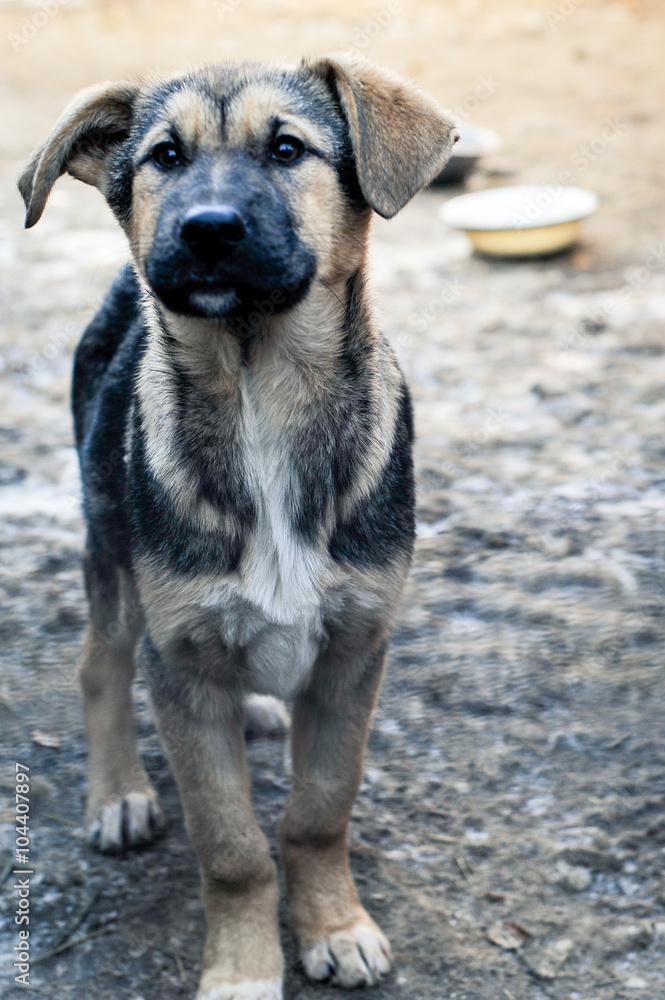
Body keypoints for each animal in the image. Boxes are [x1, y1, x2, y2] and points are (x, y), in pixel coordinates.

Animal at [20, 56, 456, 1000]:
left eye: (287, 148)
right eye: (165, 156)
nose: (205, 230)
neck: (260, 391)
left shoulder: (354, 650)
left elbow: (318, 811)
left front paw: (335, 927)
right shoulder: (180, 664)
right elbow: (231, 847)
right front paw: (243, 971)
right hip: (112, 549)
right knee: (99, 662)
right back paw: (116, 793)